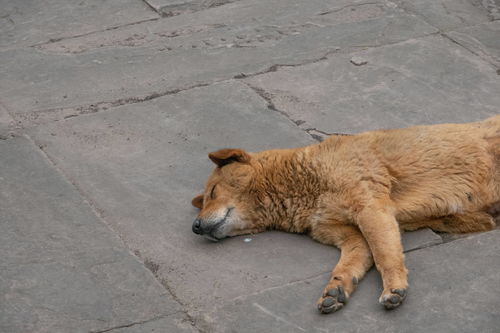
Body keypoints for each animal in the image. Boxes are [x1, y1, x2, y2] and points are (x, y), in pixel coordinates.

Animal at [189, 114, 498, 312]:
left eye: (213, 192)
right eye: (205, 199)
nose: (195, 226)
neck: (301, 186)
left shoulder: (371, 208)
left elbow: (385, 256)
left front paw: (394, 287)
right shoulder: (348, 233)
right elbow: (351, 262)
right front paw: (336, 289)